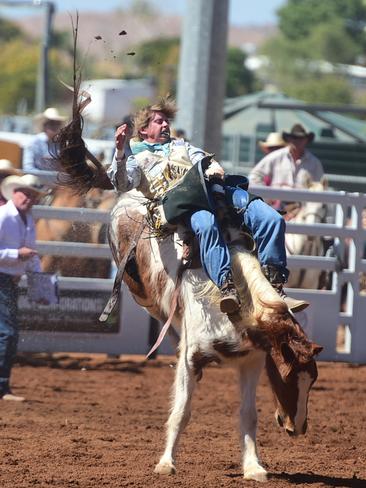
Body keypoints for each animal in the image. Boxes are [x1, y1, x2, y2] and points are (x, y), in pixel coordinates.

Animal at [106, 193, 324, 482]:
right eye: (287, 377)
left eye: (312, 380)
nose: (298, 427)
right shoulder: (191, 359)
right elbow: (182, 412)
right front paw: (166, 463)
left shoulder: (252, 361)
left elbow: (248, 415)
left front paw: (253, 467)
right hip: (139, 291)